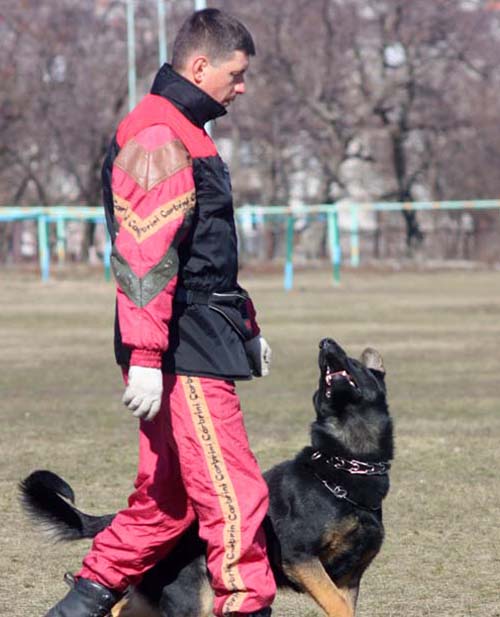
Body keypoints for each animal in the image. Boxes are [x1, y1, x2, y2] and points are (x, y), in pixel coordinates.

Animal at [20, 340, 394, 612]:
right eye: (322, 375)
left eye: (355, 364)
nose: (325, 343)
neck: (344, 464)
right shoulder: (301, 558)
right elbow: (337, 606)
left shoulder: (348, 579)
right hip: (193, 593)